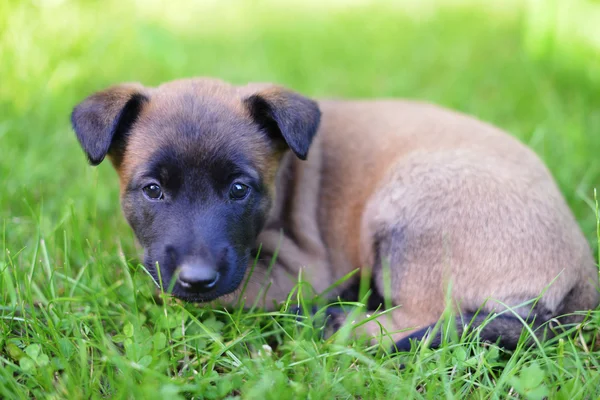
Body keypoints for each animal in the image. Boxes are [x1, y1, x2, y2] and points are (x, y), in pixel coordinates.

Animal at [71, 77, 600, 350]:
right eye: (153, 190)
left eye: (240, 190)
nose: (197, 278)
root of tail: (583, 273)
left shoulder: (299, 271)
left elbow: (188, 294)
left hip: (408, 204)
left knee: (423, 318)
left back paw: (336, 322)